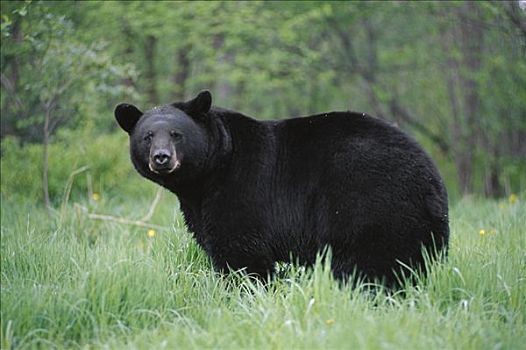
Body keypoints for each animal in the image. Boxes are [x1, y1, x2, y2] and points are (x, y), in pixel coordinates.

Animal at [115, 91, 450, 288]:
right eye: (147, 136)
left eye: (176, 134)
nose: (162, 158)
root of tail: (432, 178)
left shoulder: (242, 190)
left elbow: (240, 252)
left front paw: (243, 291)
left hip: (372, 203)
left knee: (374, 263)